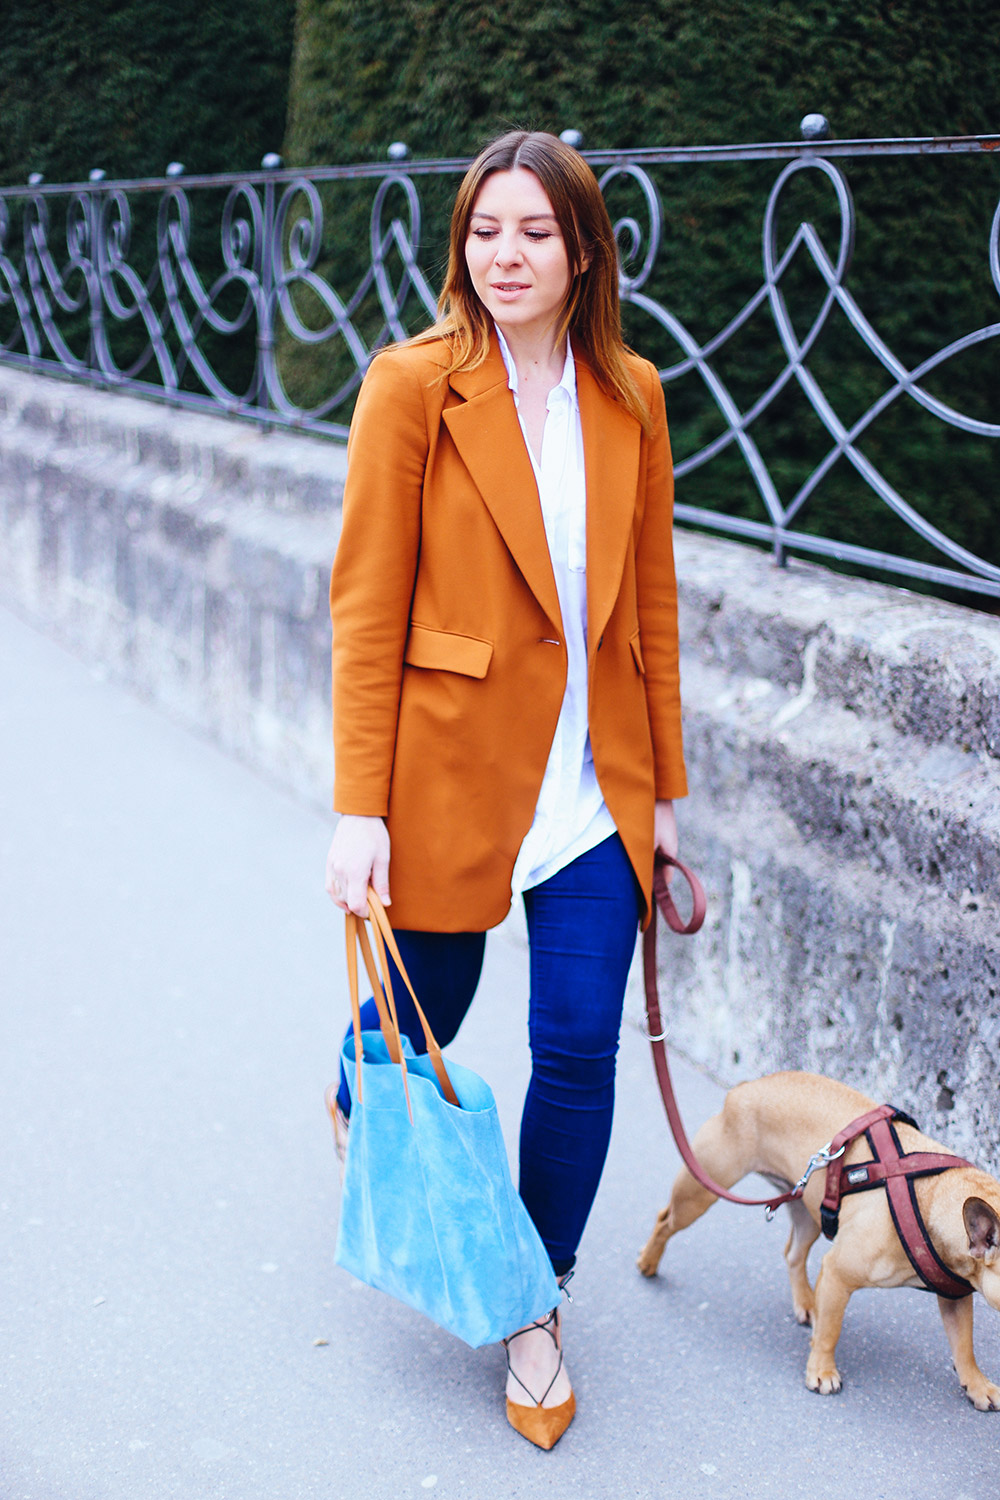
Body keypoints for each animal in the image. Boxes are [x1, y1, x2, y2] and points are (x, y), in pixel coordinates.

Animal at [638, 1068, 1000, 1404]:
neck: (934, 1197)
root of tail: (746, 1088)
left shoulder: (955, 1297)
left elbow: (963, 1344)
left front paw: (977, 1383)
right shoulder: (839, 1273)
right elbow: (830, 1330)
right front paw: (822, 1371)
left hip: (808, 1207)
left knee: (794, 1253)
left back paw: (806, 1302)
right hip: (701, 1189)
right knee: (665, 1220)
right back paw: (648, 1263)